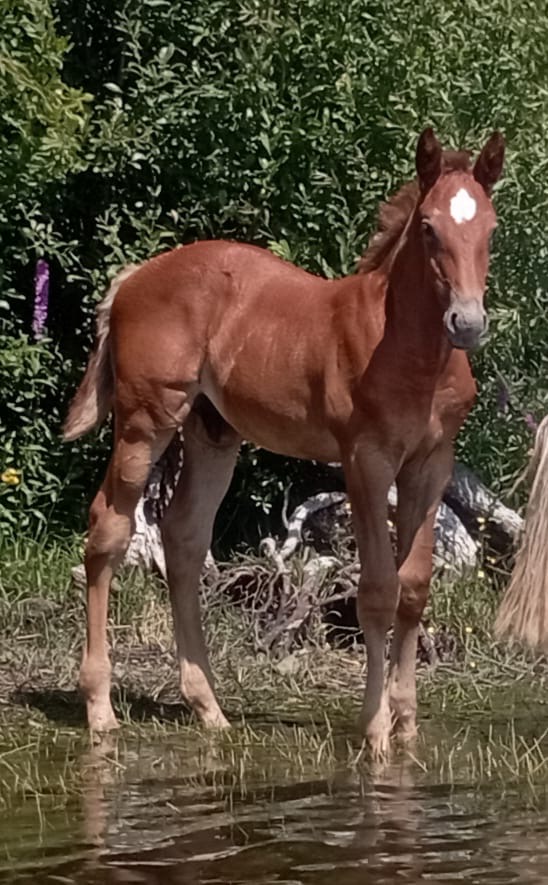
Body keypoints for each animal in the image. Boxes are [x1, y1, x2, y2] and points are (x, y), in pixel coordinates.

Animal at [64, 128, 504, 756]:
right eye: (428, 227)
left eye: (489, 228)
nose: (466, 323)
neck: (406, 348)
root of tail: (134, 276)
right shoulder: (365, 460)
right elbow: (377, 590)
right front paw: (375, 732)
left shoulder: (431, 463)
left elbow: (414, 588)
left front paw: (407, 725)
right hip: (146, 420)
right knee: (109, 529)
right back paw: (100, 709)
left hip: (212, 433)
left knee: (184, 538)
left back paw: (209, 707)